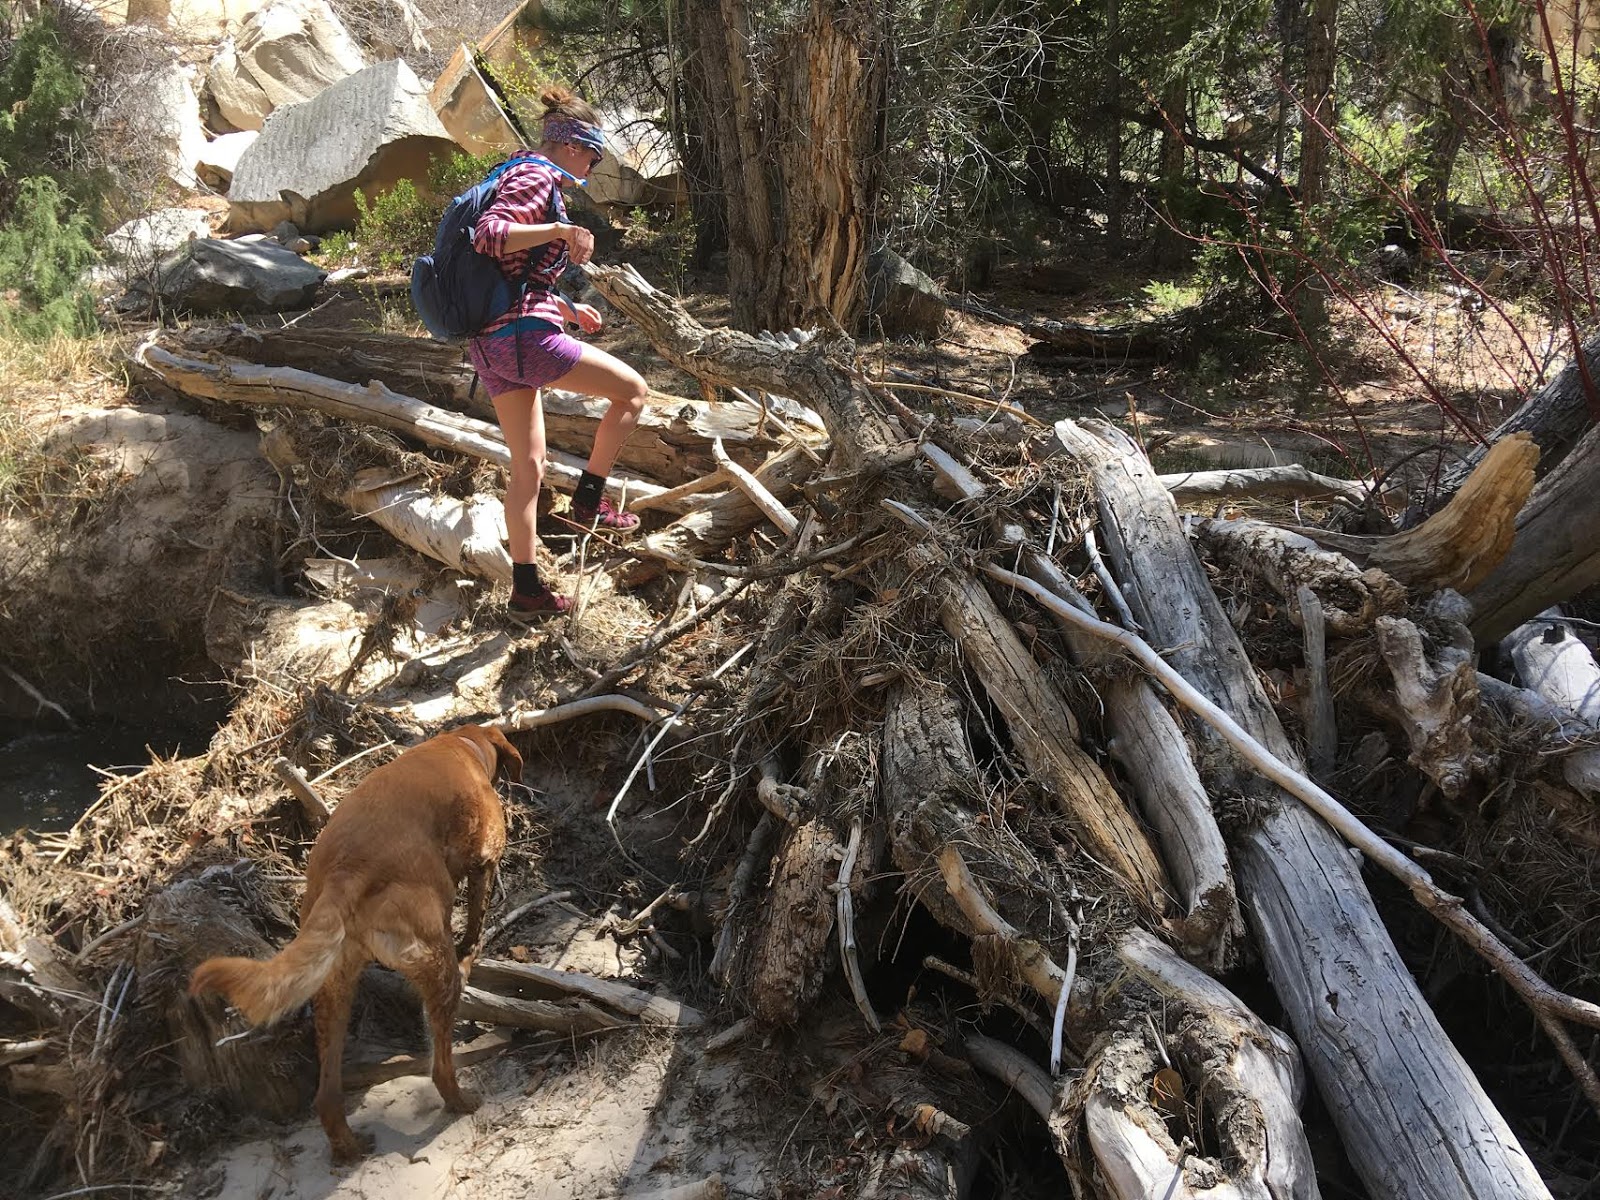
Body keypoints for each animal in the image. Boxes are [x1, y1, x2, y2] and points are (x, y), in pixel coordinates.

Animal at [188, 723, 518, 1164]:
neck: (462, 746)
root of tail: (345, 872)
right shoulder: (485, 862)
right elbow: (477, 917)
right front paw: (474, 945)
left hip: (332, 990)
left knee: (327, 1097)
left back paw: (348, 1146)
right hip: (434, 961)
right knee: (440, 1065)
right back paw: (462, 1100)